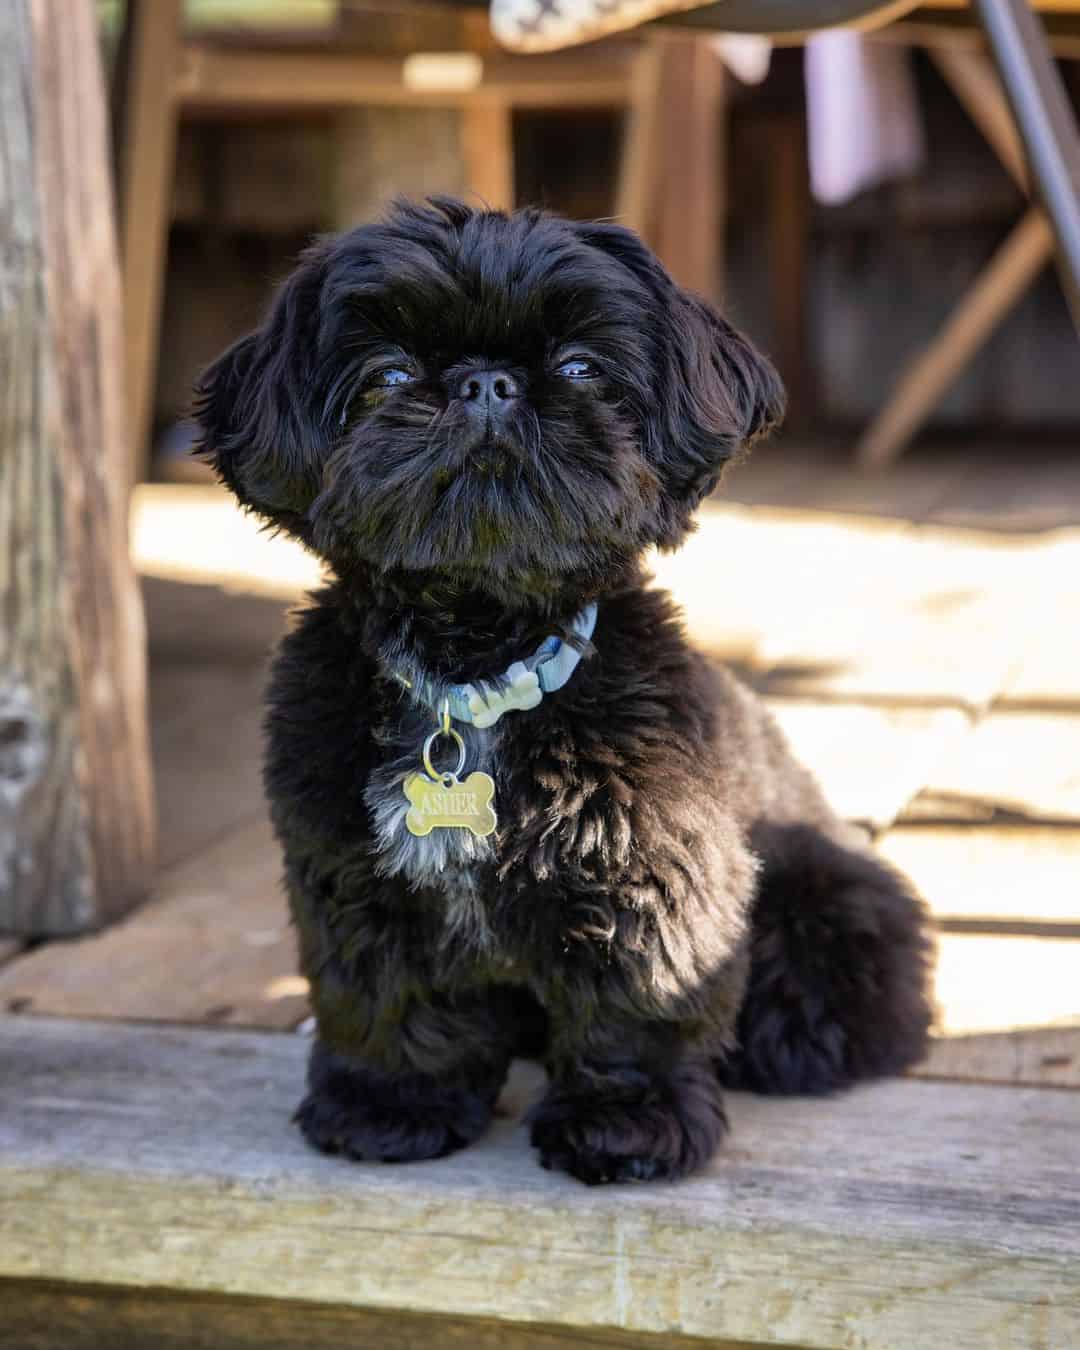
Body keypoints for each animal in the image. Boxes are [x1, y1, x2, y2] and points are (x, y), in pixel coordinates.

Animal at [195, 197, 934, 1182]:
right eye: (387, 375)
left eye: (583, 366)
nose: (487, 384)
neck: (473, 675)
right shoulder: (351, 874)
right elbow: (384, 993)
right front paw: (390, 1106)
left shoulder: (644, 866)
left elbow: (637, 999)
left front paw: (627, 1127)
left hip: (831, 902)